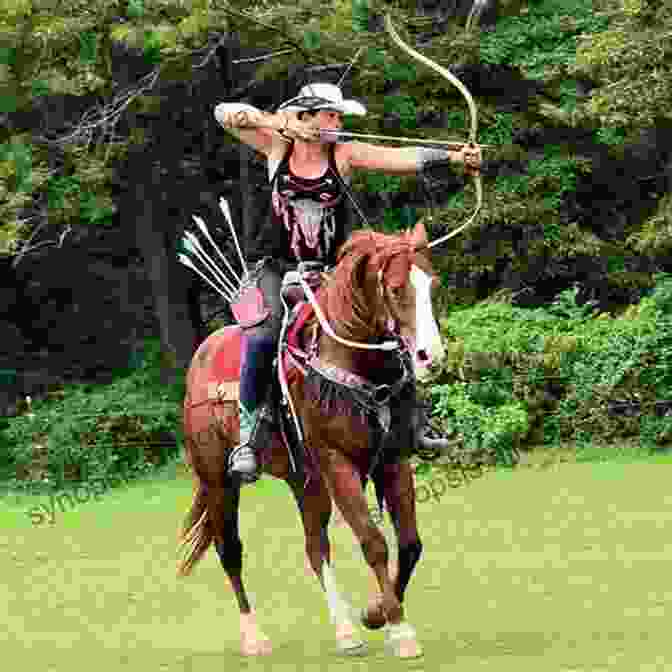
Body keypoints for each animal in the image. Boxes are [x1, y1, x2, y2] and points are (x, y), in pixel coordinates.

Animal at [177, 219, 446, 656]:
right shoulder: (337, 463)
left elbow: (409, 543)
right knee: (229, 550)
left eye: (431, 286)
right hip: (218, 480)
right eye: (394, 289)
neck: (352, 361)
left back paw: (346, 631)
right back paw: (253, 637)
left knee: (315, 547)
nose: (430, 357)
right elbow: (373, 541)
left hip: (304, 479)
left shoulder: (392, 460)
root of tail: (202, 357)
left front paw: (376, 613)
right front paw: (399, 628)